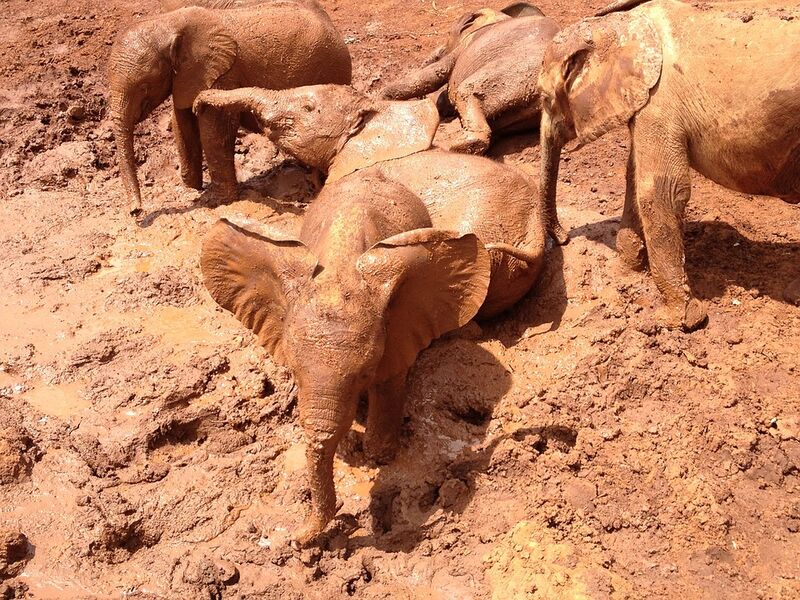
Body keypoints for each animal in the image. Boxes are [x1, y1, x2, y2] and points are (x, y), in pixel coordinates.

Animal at [107, 1, 351, 215]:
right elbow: (182, 124)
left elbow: (215, 129)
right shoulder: (186, 77)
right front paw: (192, 189)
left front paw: (218, 201)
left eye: (144, 87)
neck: (169, 22)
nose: (136, 212)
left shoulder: (221, 73)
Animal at [380, 2, 559, 154]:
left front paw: (380, 100)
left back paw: (457, 147)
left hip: (514, 72)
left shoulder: (464, 46)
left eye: (448, 34)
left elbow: (435, 74)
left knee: (467, 91)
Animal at [537, 0, 800, 330]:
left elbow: (661, 191)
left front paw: (680, 320)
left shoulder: (660, 103)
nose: (563, 238)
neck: (617, 25)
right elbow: (635, 176)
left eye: (545, 99)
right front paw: (628, 268)